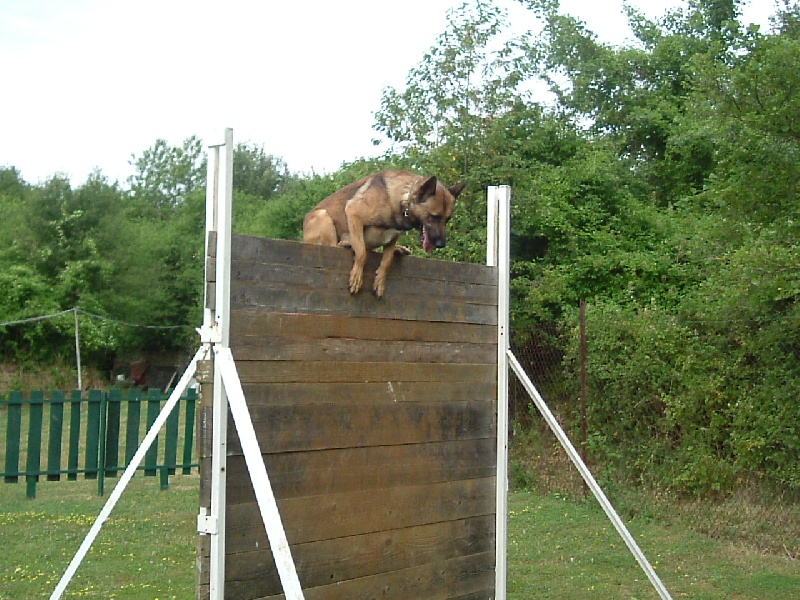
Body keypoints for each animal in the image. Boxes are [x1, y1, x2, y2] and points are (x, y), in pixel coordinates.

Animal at [304, 170, 466, 296]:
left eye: (447, 219)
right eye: (434, 216)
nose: (441, 244)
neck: (403, 200)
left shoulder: (393, 237)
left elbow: (387, 260)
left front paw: (380, 281)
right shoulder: (353, 212)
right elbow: (361, 253)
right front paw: (357, 276)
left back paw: (398, 249)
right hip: (322, 215)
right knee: (334, 246)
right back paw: (345, 244)